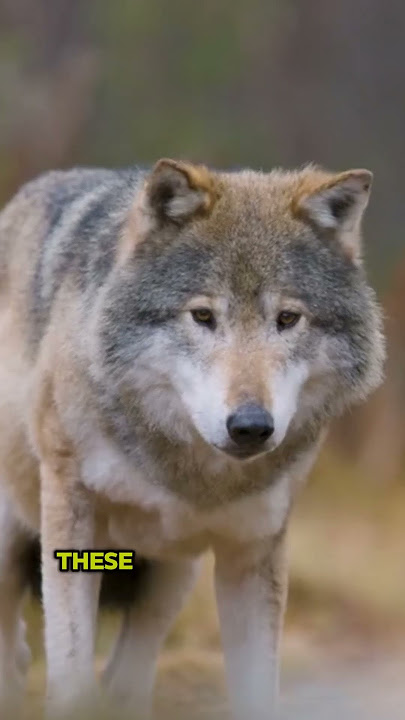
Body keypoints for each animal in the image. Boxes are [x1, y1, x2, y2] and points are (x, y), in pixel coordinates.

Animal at [0, 158, 384, 719]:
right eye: (203, 316)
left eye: (287, 319)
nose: (250, 425)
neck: (188, 473)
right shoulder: (72, 517)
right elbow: (71, 676)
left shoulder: (253, 549)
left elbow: (258, 690)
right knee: (17, 644)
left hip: (173, 576)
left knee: (127, 676)